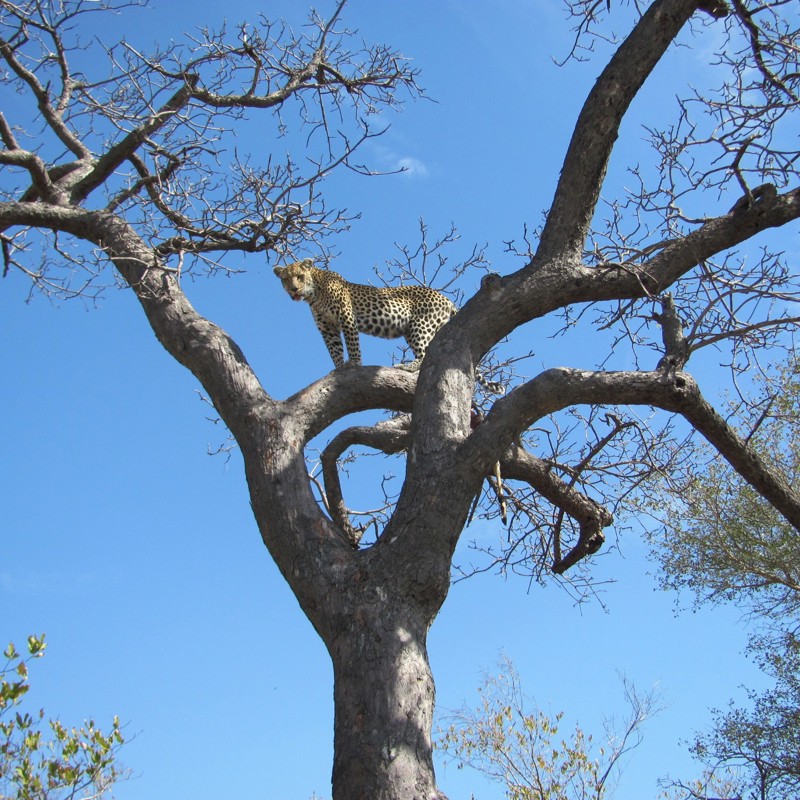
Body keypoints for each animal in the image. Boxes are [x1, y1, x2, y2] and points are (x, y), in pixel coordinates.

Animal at [274, 259, 502, 392]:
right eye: (285, 280)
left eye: (300, 277)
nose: (294, 289)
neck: (314, 294)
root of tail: (446, 300)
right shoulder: (327, 328)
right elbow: (334, 350)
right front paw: (338, 368)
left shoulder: (346, 316)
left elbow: (352, 344)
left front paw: (354, 364)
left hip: (421, 325)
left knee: (426, 354)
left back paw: (407, 366)